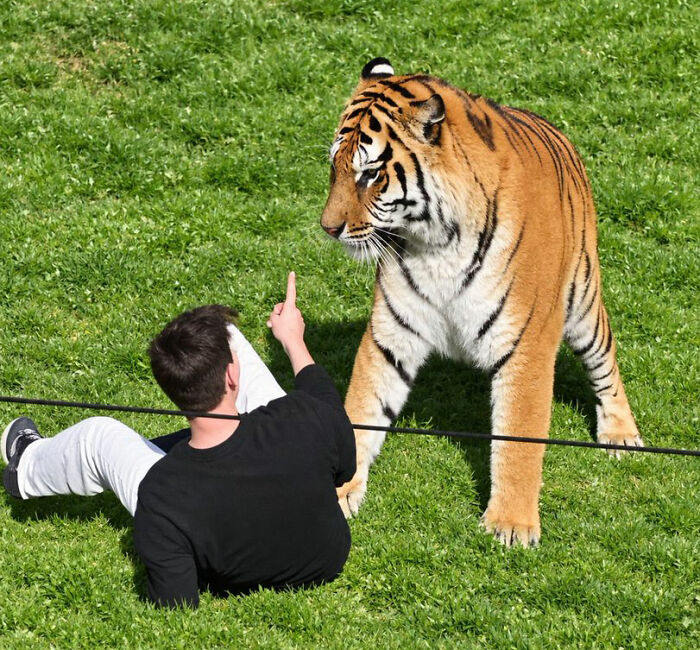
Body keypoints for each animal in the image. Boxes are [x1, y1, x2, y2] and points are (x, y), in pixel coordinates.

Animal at [320, 58, 642, 547]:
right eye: (335, 168)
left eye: (370, 174)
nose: (328, 228)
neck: (435, 242)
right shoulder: (391, 334)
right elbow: (362, 409)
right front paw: (337, 492)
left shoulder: (526, 343)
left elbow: (518, 437)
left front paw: (510, 524)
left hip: (584, 300)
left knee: (605, 363)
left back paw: (621, 435)